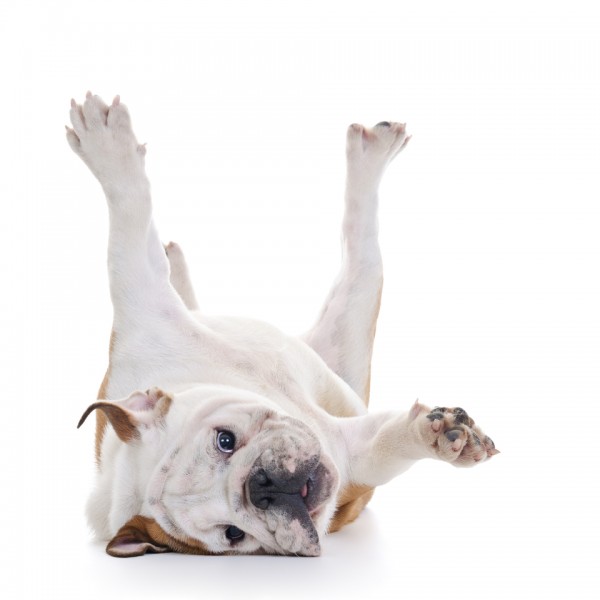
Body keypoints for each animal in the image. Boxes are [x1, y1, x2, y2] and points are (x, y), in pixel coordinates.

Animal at [65, 92, 500, 556]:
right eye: (233, 534)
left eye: (225, 440)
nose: (264, 487)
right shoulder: (350, 456)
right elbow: (384, 446)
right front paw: (436, 436)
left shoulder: (143, 311)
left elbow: (128, 225)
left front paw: (108, 145)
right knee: (363, 262)